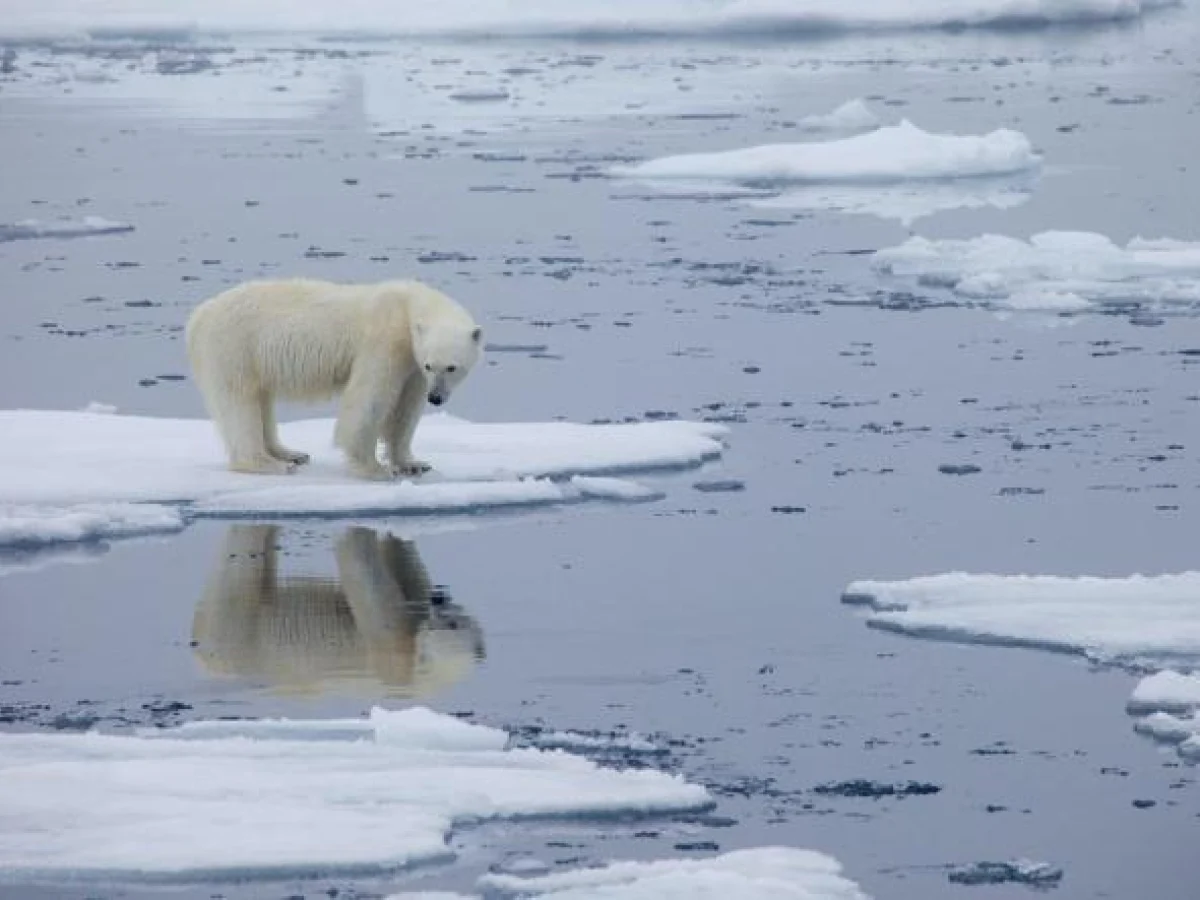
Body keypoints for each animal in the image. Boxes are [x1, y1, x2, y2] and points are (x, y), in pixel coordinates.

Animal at [185, 278, 482, 480]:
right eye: (432, 365)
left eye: (451, 367)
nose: (436, 397)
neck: (406, 305)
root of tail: (199, 315)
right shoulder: (385, 343)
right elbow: (369, 400)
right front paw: (375, 468)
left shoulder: (412, 364)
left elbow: (405, 410)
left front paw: (413, 463)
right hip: (234, 347)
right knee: (239, 402)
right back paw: (268, 463)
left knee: (261, 400)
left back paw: (290, 453)